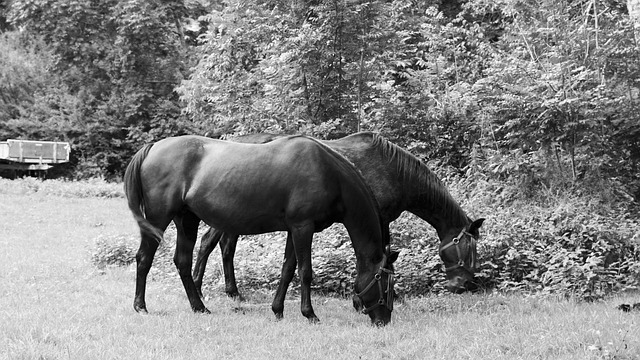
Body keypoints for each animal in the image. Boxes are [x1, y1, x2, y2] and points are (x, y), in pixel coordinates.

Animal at [122, 135, 398, 326]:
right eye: (384, 282)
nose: (383, 320)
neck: (328, 173)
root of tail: (152, 148)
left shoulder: (294, 229)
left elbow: (287, 269)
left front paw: (278, 310)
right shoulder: (303, 227)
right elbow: (305, 271)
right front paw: (309, 314)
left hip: (187, 220)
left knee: (182, 261)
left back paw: (199, 307)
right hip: (158, 219)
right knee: (144, 258)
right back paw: (141, 306)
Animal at [195, 131, 484, 304]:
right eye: (469, 249)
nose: (464, 285)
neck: (393, 171)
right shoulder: (378, 218)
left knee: (225, 247)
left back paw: (232, 292)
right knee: (208, 243)